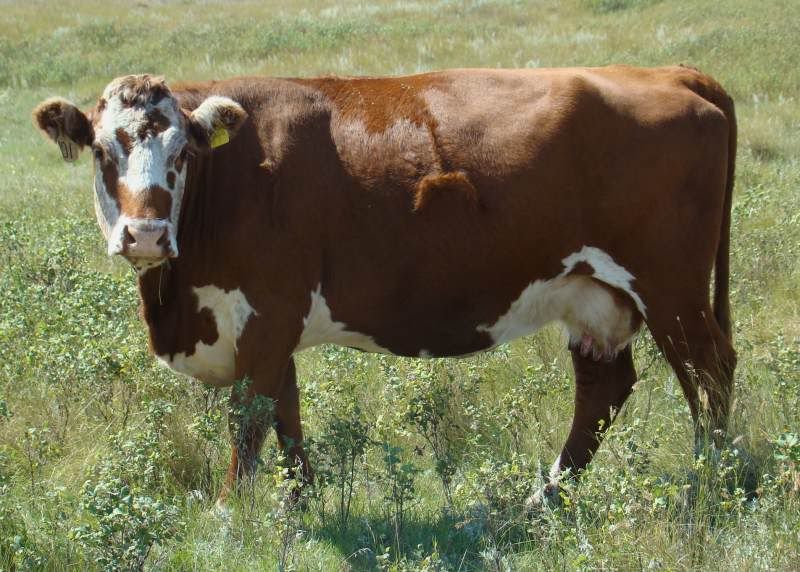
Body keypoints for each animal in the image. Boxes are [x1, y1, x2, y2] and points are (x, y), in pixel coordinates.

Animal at [33, 65, 736, 506]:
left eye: (181, 154)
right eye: (102, 152)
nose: (146, 235)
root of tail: (668, 73)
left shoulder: (265, 316)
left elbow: (250, 421)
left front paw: (232, 517)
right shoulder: (276, 328)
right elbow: (287, 417)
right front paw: (299, 508)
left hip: (671, 288)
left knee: (709, 374)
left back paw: (710, 485)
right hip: (594, 294)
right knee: (603, 390)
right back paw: (540, 500)